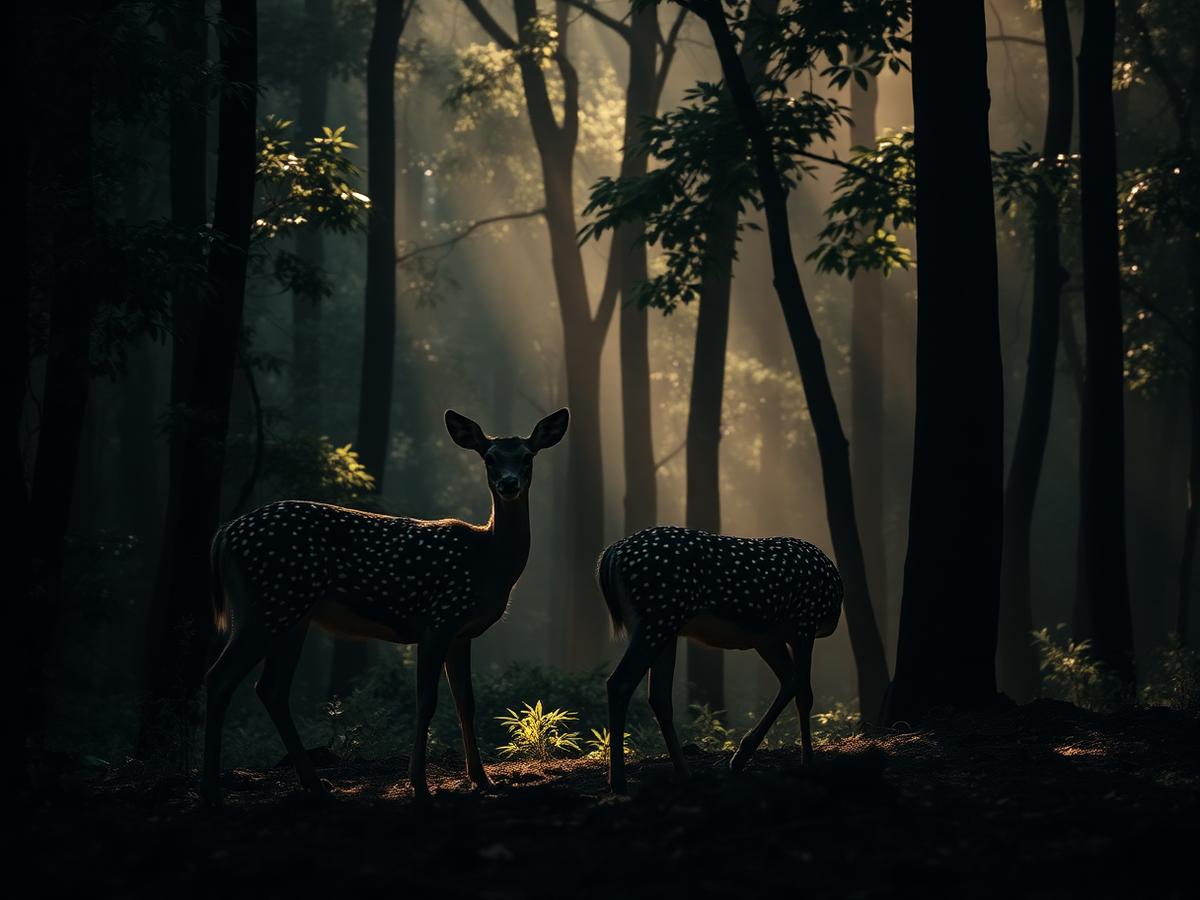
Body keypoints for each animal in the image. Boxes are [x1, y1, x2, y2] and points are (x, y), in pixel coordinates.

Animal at [200, 408, 569, 806]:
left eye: (528, 457)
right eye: (489, 458)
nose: (509, 483)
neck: (490, 559)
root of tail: (224, 534)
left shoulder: (462, 633)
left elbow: (466, 702)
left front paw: (483, 780)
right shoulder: (438, 618)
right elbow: (426, 700)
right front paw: (419, 784)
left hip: (289, 615)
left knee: (270, 689)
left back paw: (316, 784)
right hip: (269, 604)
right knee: (219, 677)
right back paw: (211, 792)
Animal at [595, 526, 843, 793]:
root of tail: (612, 554)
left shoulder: (767, 637)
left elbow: (791, 682)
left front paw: (740, 757)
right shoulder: (804, 622)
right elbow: (805, 694)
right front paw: (808, 762)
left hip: (663, 626)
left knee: (659, 696)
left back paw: (685, 773)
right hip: (659, 614)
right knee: (620, 682)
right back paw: (619, 782)